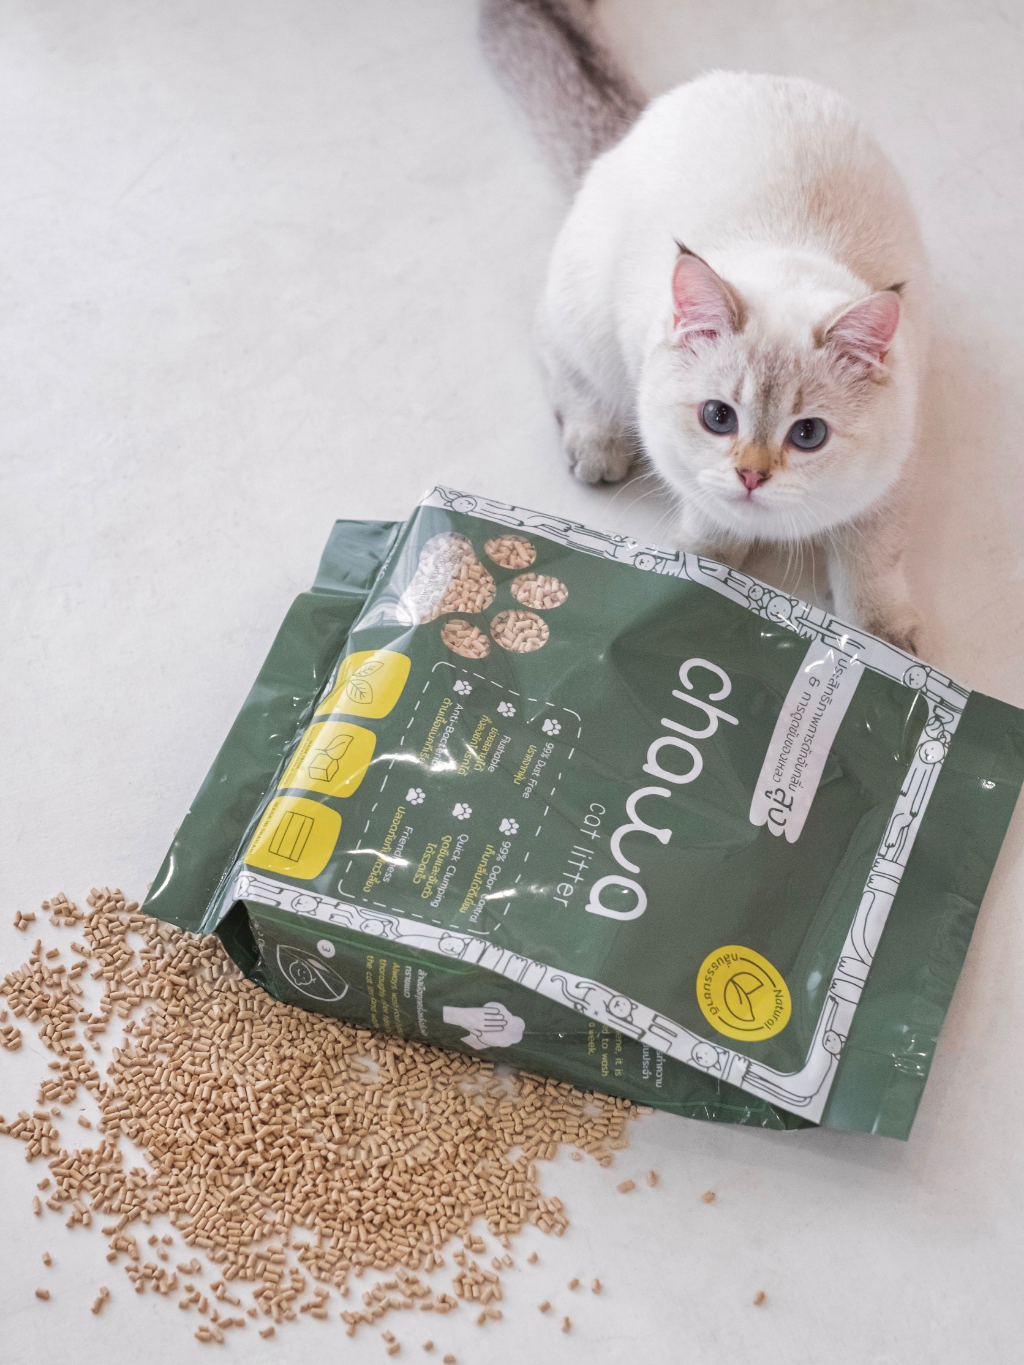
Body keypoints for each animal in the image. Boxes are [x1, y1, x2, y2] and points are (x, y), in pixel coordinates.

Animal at [481, 0, 929, 651]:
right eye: (718, 418)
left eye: (808, 435)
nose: (750, 475)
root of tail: (642, 118)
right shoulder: (697, 488)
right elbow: (707, 544)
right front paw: (691, 595)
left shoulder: (891, 485)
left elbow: (871, 565)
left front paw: (882, 644)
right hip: (588, 322)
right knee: (557, 356)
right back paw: (596, 445)